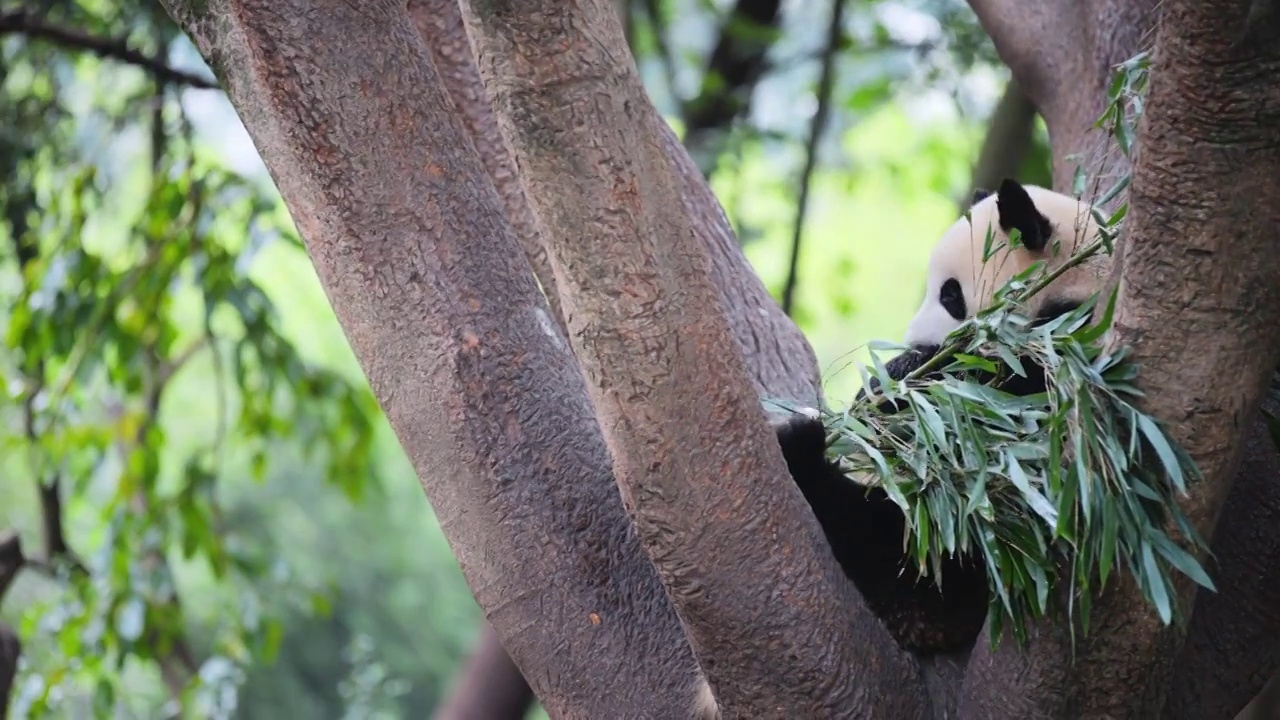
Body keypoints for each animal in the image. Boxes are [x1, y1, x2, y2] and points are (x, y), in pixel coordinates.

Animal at [691, 178, 1111, 712]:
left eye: (950, 295)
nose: (911, 339)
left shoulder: (1055, 366)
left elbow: (985, 402)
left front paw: (902, 379)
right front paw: (882, 387)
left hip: (948, 548)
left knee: (891, 548)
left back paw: (802, 450)